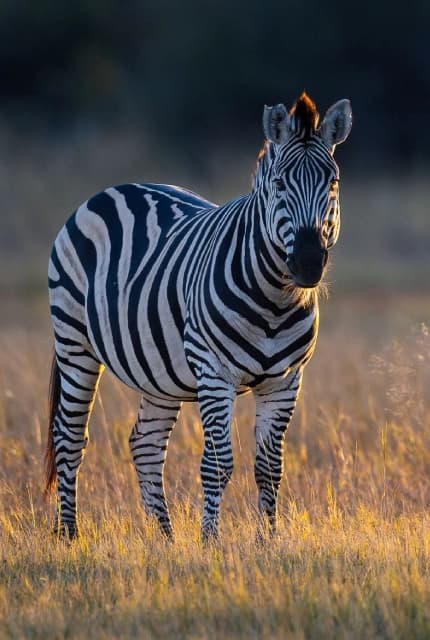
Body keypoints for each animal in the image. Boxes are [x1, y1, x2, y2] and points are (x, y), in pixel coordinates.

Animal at [45, 92, 352, 541]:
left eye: (332, 183)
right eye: (279, 185)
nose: (310, 262)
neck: (275, 299)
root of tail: (112, 189)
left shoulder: (285, 381)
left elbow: (270, 468)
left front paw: (268, 541)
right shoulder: (214, 371)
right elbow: (217, 465)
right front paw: (211, 542)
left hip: (157, 372)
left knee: (145, 444)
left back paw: (165, 539)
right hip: (74, 343)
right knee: (68, 437)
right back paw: (70, 534)